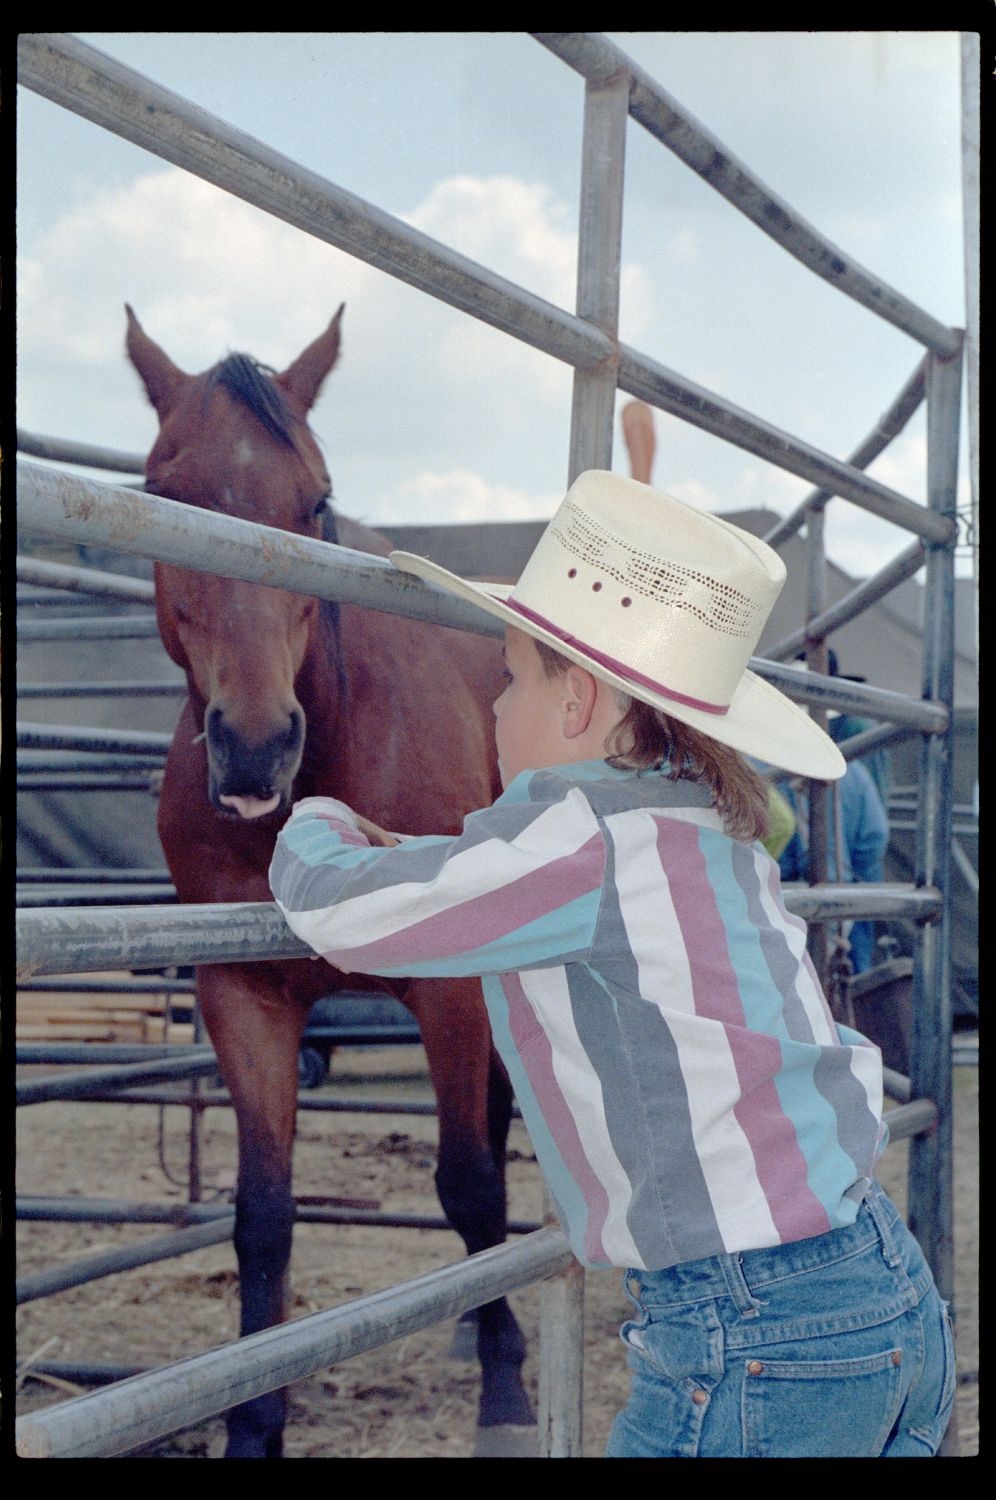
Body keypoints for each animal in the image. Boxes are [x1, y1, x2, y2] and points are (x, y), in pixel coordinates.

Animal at [125, 301, 537, 1452]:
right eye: (169, 496)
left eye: (313, 501)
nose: (257, 747)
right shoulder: (244, 996)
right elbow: (262, 1218)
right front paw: (253, 1422)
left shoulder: (450, 990)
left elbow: (469, 1183)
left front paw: (509, 1397)